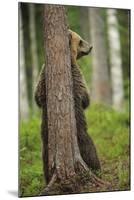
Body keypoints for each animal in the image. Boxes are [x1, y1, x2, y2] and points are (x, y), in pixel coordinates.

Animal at [34, 29, 100, 183]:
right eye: (81, 40)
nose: (91, 47)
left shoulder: (42, 78)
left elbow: (37, 97)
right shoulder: (76, 76)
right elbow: (85, 98)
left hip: (46, 146)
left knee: (45, 161)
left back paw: (48, 177)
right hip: (81, 136)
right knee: (90, 150)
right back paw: (97, 169)